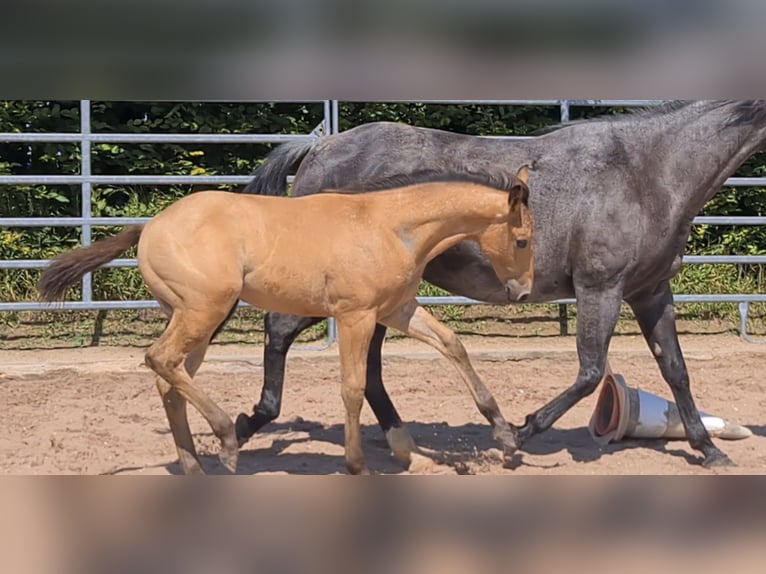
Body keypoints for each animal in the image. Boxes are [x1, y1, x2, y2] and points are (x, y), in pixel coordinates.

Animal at [37, 167, 534, 475]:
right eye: (524, 240)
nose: (523, 292)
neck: (390, 228)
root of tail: (151, 226)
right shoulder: (355, 315)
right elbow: (353, 388)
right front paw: (356, 464)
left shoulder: (397, 310)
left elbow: (453, 346)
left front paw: (506, 438)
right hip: (205, 310)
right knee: (159, 360)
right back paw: (226, 438)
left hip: (193, 318)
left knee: (170, 379)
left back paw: (197, 465)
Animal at [235, 100, 766, 469]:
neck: (645, 172)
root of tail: (320, 148)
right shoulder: (601, 288)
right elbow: (591, 371)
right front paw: (516, 435)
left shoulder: (650, 291)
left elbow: (675, 370)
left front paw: (710, 450)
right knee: (281, 331)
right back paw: (249, 423)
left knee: (367, 368)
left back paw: (402, 443)